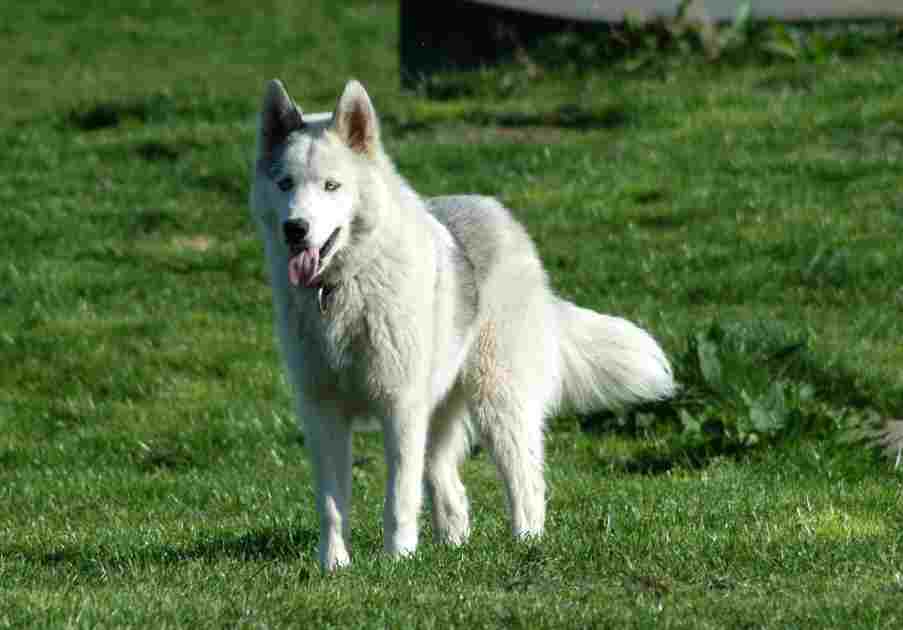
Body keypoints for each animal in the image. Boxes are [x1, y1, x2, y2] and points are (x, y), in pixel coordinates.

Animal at [251, 79, 676, 572]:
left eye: (331, 185)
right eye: (285, 183)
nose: (295, 228)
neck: (343, 288)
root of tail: (503, 217)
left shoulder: (400, 409)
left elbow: (398, 500)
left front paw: (397, 563)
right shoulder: (323, 414)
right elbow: (333, 505)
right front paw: (334, 567)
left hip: (498, 403)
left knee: (526, 481)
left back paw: (526, 543)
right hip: (440, 417)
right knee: (449, 487)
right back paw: (453, 546)